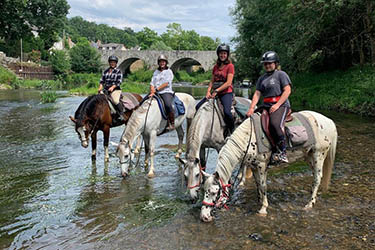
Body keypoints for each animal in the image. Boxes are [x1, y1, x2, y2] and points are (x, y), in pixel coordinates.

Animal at [201, 110, 340, 222]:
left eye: (214, 192)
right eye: (204, 190)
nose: (204, 217)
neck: (249, 137)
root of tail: (329, 121)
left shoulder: (262, 165)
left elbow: (263, 185)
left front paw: (263, 208)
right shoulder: (254, 165)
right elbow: (258, 183)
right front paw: (259, 201)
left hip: (318, 155)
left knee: (317, 178)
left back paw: (309, 204)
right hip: (309, 156)